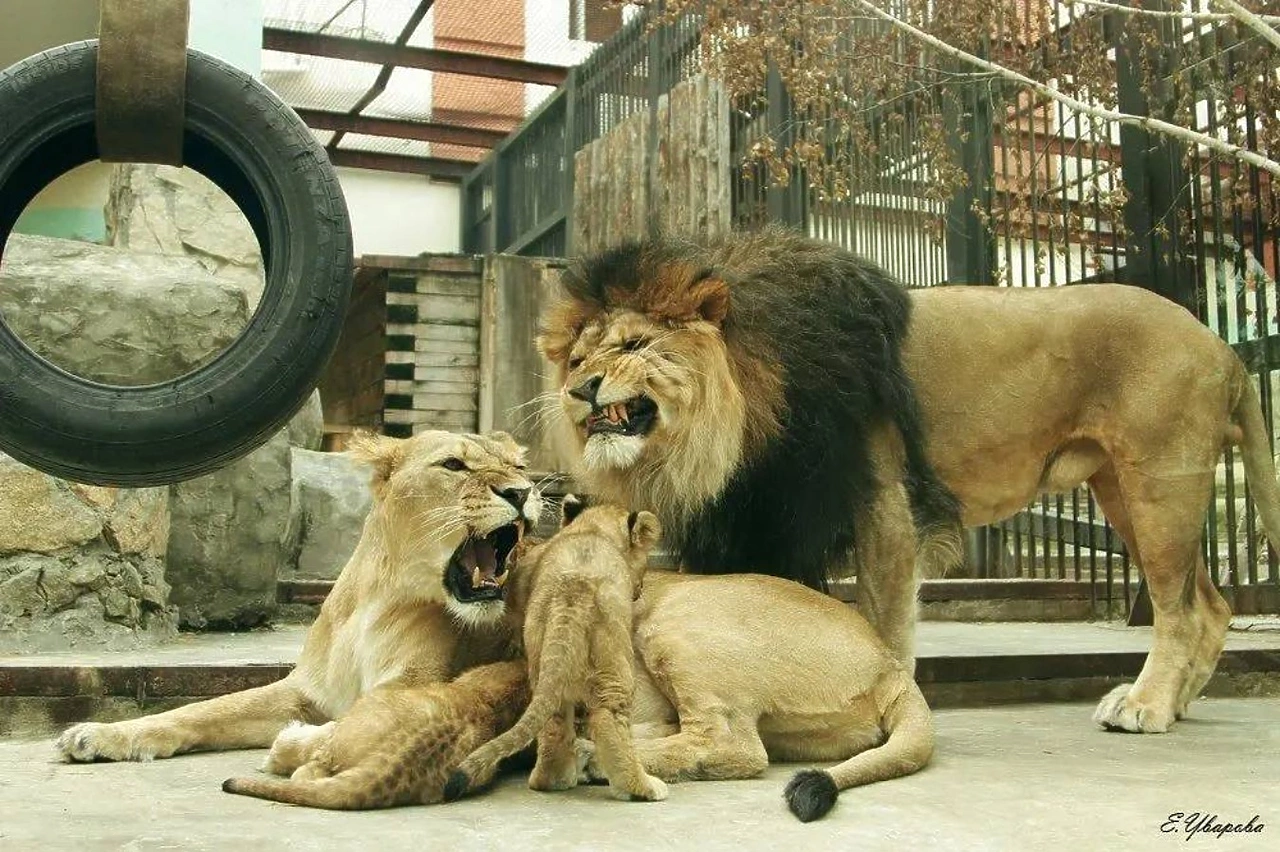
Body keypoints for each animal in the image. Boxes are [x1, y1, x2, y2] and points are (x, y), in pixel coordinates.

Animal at [55, 429, 540, 762]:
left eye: (518, 468)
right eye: (454, 465)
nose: (521, 492)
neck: (379, 599)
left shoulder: (413, 684)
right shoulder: (304, 693)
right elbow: (203, 710)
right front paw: (100, 734)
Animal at [445, 497, 667, 804]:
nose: (640, 589)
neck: (592, 530)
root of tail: (574, 592)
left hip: (543, 652)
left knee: (553, 718)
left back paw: (552, 780)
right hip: (613, 658)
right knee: (609, 716)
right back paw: (642, 788)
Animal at [538, 226, 1280, 735]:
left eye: (634, 346)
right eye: (576, 358)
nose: (580, 388)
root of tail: (1218, 344)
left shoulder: (882, 505)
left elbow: (885, 622)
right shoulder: (775, 515)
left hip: (1161, 479)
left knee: (1180, 608)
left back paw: (1148, 705)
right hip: (1123, 489)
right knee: (1212, 604)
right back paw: (1176, 702)